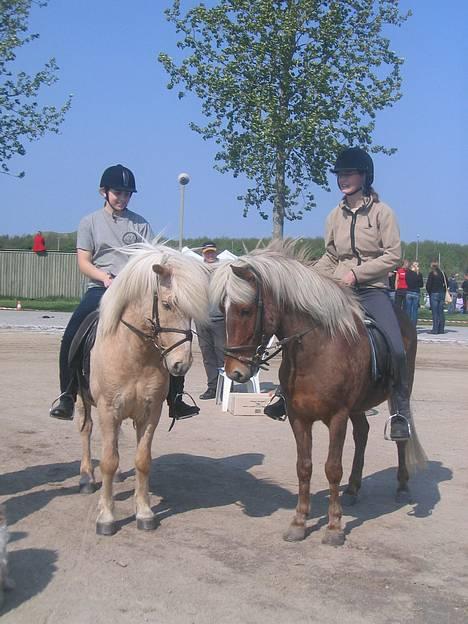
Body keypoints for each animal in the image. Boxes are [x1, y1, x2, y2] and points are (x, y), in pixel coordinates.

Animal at [77, 244, 208, 536]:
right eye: (167, 304)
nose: (181, 364)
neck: (135, 354)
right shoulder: (108, 411)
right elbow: (108, 461)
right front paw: (106, 517)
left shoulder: (150, 412)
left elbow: (142, 460)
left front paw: (145, 512)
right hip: (82, 401)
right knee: (86, 431)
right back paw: (86, 477)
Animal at [210, 244, 426, 544]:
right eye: (223, 309)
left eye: (245, 310)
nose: (235, 372)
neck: (317, 349)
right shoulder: (298, 417)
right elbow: (304, 466)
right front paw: (299, 522)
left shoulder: (337, 417)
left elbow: (332, 468)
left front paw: (334, 527)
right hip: (358, 406)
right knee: (362, 433)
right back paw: (353, 488)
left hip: (397, 393)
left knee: (400, 436)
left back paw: (402, 487)